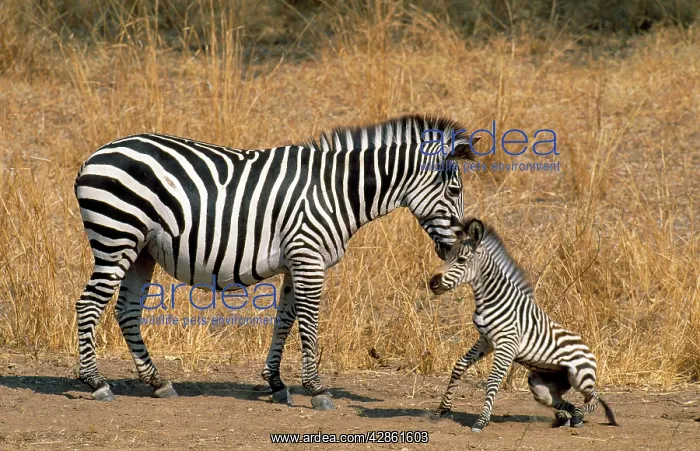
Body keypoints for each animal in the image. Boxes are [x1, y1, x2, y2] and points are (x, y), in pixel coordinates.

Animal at [74, 114, 479, 409]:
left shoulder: (295, 262)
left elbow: (285, 320)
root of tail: (95, 156)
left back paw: (157, 381)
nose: (456, 250)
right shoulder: (309, 259)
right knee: (88, 305)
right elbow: (309, 323)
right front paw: (316, 389)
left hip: (140, 250)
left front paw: (276, 382)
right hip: (116, 238)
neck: (337, 191)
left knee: (126, 310)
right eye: (454, 190)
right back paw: (97, 383)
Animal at [428, 217, 619, 432]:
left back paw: (577, 416)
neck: (491, 298)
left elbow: (493, 380)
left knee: (594, 397)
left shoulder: (507, 343)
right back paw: (566, 416)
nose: (432, 283)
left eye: (461, 260)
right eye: (446, 258)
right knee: (562, 401)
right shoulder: (486, 340)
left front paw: (481, 421)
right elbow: (459, 365)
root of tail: (590, 351)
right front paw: (442, 409)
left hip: (579, 376)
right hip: (539, 385)